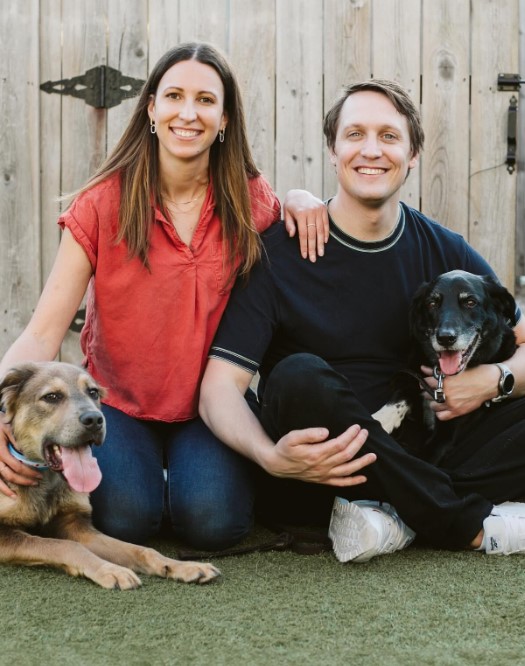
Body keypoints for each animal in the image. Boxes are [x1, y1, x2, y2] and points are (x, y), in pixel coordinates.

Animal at [0, 364, 219, 588]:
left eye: (93, 392)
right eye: (51, 396)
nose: (94, 420)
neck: (46, 479)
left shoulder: (76, 525)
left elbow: (141, 549)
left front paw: (182, 566)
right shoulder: (4, 533)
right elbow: (66, 545)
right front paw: (110, 569)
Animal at [372, 270, 516, 462]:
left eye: (470, 302)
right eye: (432, 303)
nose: (445, 338)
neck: (441, 375)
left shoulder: (447, 434)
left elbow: (424, 459)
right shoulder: (414, 374)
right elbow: (402, 393)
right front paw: (380, 419)